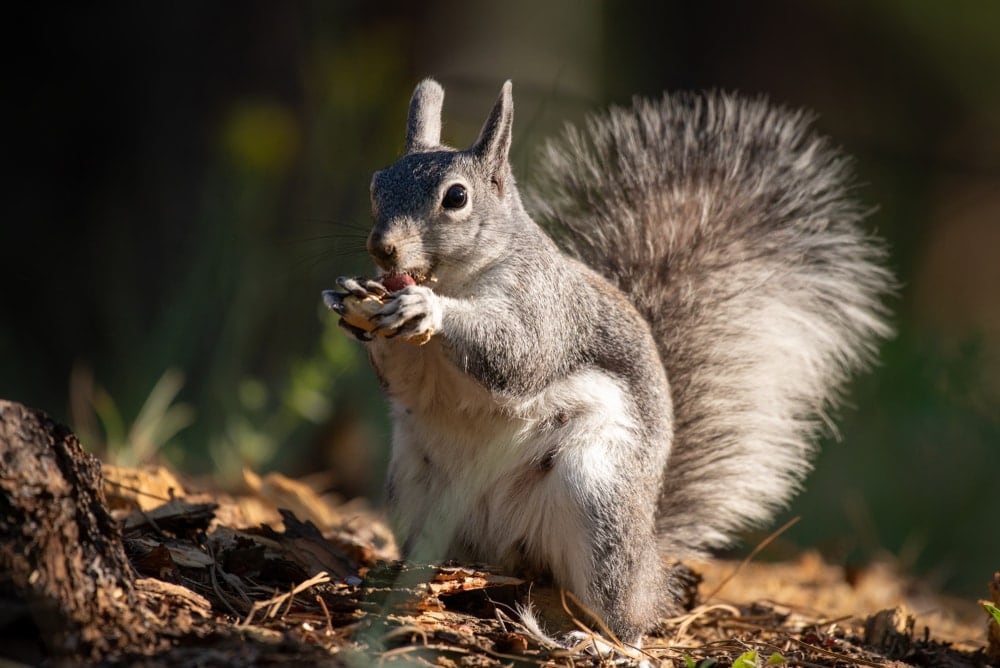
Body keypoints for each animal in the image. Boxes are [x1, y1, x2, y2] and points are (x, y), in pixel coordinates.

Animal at [322, 79, 893, 643]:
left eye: (457, 197)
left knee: (626, 618)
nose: (382, 248)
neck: (457, 279)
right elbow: (404, 383)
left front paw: (426, 309)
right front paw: (352, 301)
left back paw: (601, 636)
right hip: (414, 490)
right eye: (377, 184)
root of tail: (651, 559)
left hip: (597, 492)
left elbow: (518, 356)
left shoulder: (546, 307)